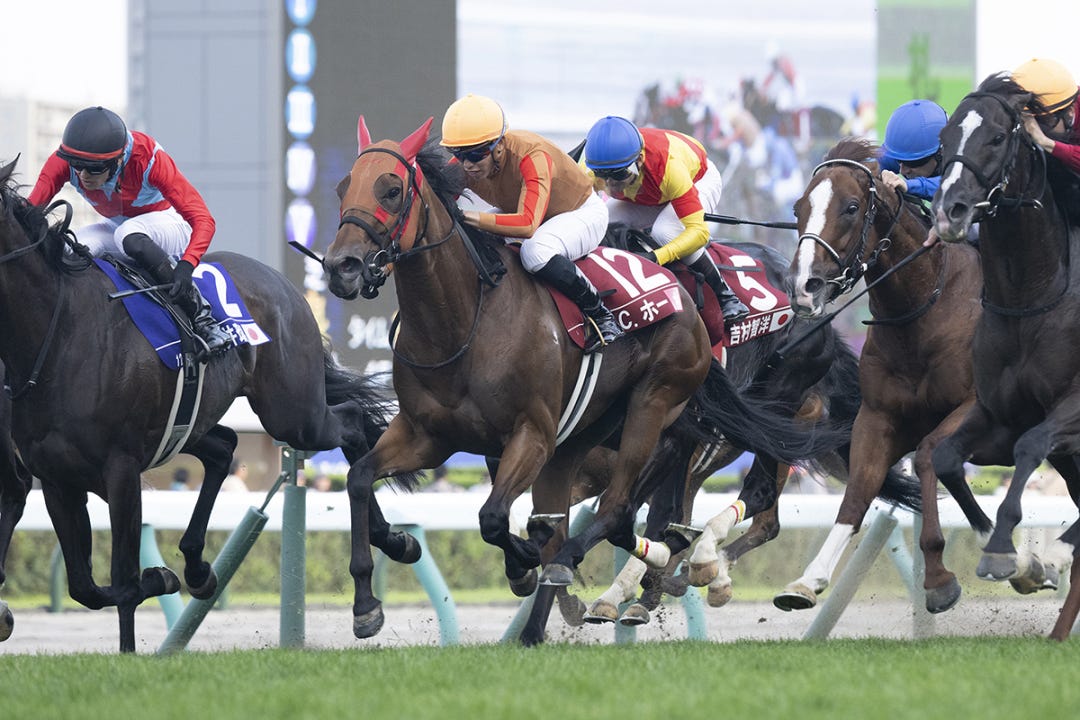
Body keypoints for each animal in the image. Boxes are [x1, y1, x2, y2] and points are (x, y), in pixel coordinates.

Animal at [0, 157, 417, 652]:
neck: (60, 332)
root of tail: (285, 283)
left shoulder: (120, 469)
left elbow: (123, 581)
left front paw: (135, 633)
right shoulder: (55, 477)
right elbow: (84, 586)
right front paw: (164, 577)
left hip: (293, 413)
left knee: (349, 421)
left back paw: (378, 573)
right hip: (191, 425)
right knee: (224, 447)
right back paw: (201, 569)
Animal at [322, 118, 849, 645]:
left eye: (391, 190)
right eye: (342, 187)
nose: (342, 267)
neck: (465, 321)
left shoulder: (534, 435)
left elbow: (495, 519)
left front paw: (530, 566)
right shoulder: (429, 436)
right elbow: (359, 477)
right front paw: (372, 595)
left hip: (659, 408)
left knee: (628, 508)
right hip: (594, 435)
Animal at [779, 137, 1053, 615]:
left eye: (851, 207)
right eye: (799, 207)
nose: (803, 287)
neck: (922, 313)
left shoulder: (977, 409)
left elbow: (928, 456)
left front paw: (940, 578)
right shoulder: (877, 417)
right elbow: (862, 485)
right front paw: (809, 579)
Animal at [930, 74, 1080, 639]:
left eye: (997, 137)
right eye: (944, 138)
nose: (948, 211)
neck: (1031, 297)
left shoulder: (1070, 410)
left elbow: (1032, 444)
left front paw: (1007, 550)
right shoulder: (997, 412)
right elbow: (945, 457)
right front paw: (1013, 556)